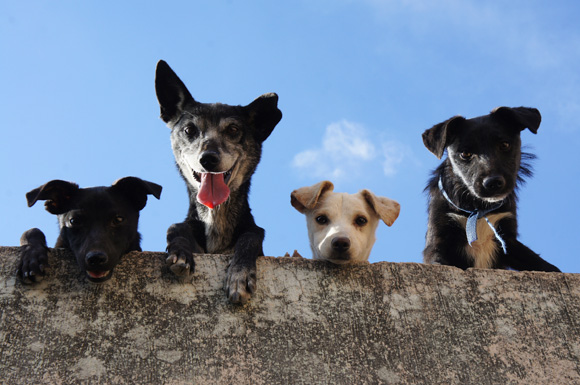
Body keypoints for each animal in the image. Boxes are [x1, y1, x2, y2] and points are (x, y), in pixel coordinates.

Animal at [153, 60, 282, 304]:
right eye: (189, 130)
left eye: (233, 129)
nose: (208, 158)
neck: (215, 218)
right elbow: (175, 226)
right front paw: (180, 253)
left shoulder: (253, 235)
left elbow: (251, 236)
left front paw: (239, 275)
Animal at [422, 106, 560, 272]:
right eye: (465, 153)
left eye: (505, 145)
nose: (493, 183)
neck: (478, 209)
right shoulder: (438, 239)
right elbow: (439, 261)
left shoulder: (508, 239)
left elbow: (541, 264)